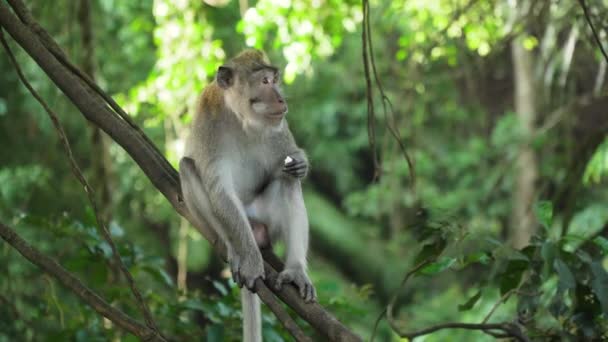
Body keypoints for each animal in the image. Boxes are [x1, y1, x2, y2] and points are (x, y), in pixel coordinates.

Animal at [178, 48, 316, 342]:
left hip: (267, 220)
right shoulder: (209, 126)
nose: (281, 98)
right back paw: (234, 248)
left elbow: (287, 163)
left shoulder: (279, 126)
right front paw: (252, 263)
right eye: (264, 81)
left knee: (287, 180)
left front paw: (301, 163)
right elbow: (220, 190)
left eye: (275, 79)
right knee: (187, 168)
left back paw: (295, 271)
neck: (240, 118)